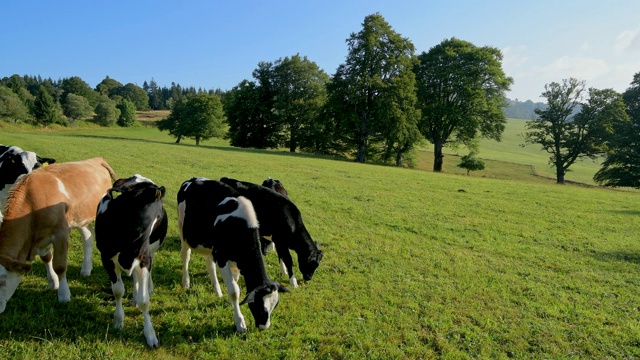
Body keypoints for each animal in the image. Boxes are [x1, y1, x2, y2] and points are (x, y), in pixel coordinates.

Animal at [0, 158, 116, 312]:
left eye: (2, 282)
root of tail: (96, 159)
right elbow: (46, 258)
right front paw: (53, 282)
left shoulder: (61, 232)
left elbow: (60, 265)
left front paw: (64, 295)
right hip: (81, 217)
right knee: (88, 237)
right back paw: (86, 269)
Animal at [94, 174, 168, 348]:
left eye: (159, 217)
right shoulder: (106, 258)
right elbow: (118, 291)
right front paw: (118, 320)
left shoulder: (144, 259)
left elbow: (144, 301)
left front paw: (150, 335)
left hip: (151, 253)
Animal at [176, 179, 288, 334]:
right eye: (260, 308)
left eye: (274, 306)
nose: (263, 327)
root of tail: (193, 180)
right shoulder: (222, 257)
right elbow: (235, 291)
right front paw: (240, 322)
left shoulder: (234, 259)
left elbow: (235, 282)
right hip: (183, 231)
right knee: (185, 256)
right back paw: (186, 282)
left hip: (210, 246)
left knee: (209, 264)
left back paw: (217, 290)